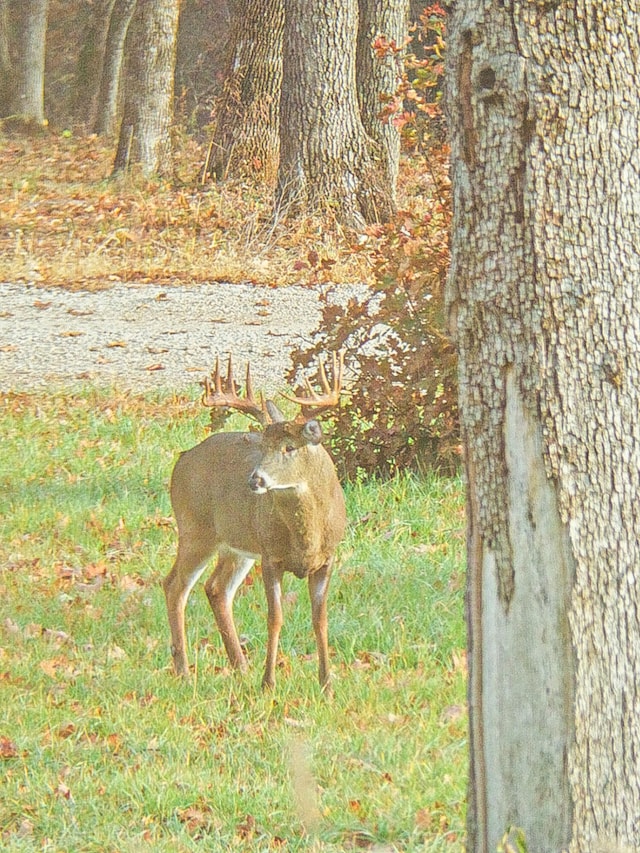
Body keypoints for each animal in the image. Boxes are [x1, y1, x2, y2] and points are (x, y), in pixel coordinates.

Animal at [162, 352, 348, 692]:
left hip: (237, 545)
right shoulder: (271, 556)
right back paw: (184, 671)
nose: (255, 480)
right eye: (261, 446)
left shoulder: (328, 558)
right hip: (195, 529)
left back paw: (241, 666)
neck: (306, 536)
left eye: (290, 447)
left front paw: (327, 684)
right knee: (174, 586)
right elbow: (275, 618)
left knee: (216, 588)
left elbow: (320, 619)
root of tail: (182, 459)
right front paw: (269, 683)